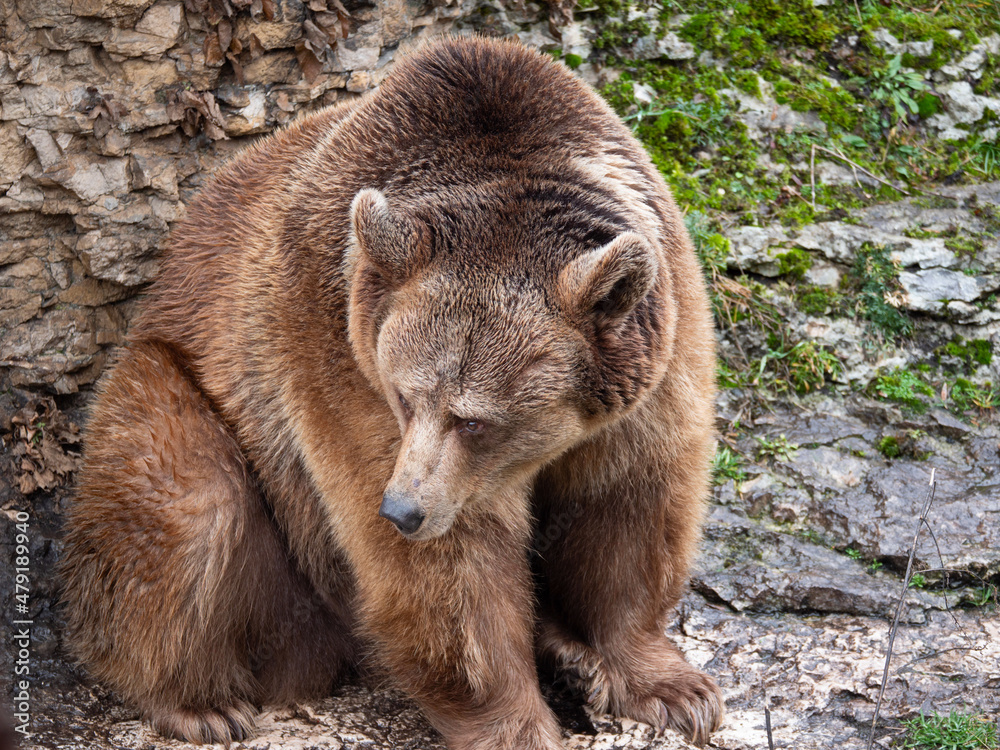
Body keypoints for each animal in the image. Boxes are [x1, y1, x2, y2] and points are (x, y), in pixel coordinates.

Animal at [60, 36, 723, 750]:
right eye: (407, 399)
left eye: (474, 420)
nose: (402, 510)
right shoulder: (338, 353)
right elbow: (448, 573)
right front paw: (519, 724)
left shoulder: (655, 356)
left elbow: (629, 504)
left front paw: (673, 688)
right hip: (185, 390)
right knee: (186, 497)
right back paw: (196, 702)